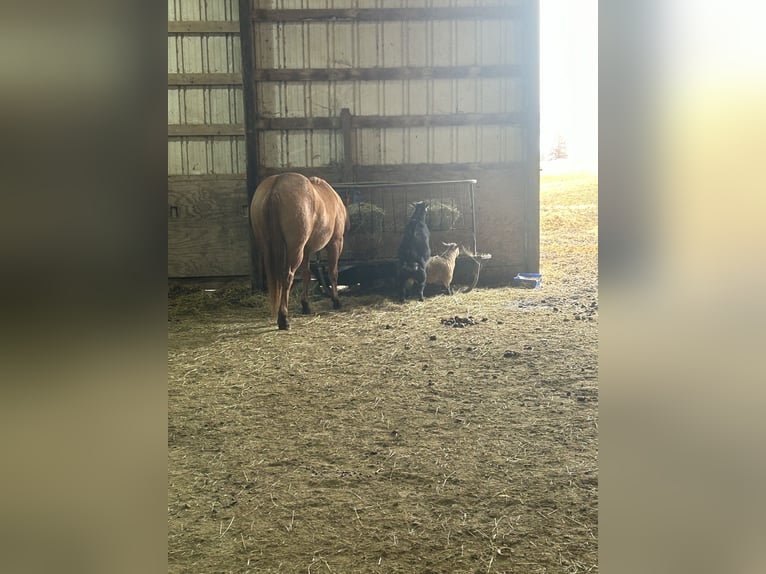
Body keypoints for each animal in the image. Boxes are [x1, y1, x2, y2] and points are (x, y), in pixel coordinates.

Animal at [250, 173, 348, 330]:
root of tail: (276, 186)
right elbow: (333, 273)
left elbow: (306, 274)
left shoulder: (306, 249)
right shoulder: (335, 242)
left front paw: (305, 305)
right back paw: (283, 319)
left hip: (269, 248)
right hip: (295, 250)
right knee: (287, 276)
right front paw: (336, 301)